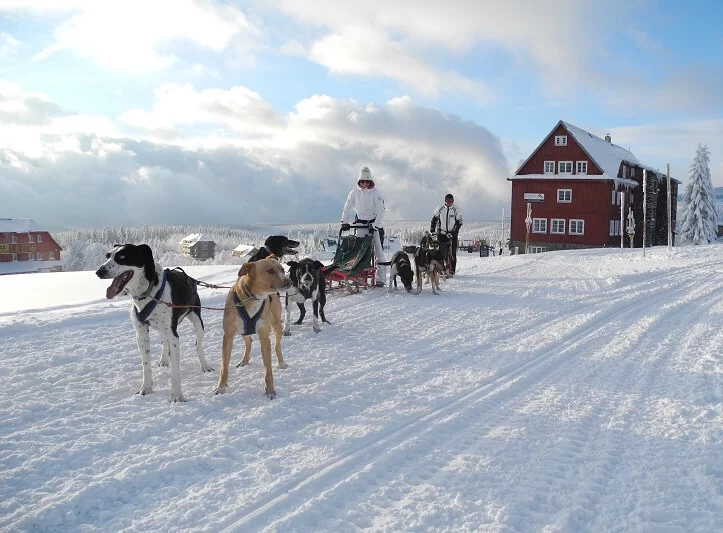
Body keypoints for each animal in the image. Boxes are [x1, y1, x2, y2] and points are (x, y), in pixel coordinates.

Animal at [95, 243, 212, 402]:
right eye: (108, 256)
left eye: (122, 257)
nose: (99, 271)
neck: (147, 294)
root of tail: (190, 278)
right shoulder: (141, 333)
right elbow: (146, 364)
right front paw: (146, 387)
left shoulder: (173, 335)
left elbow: (176, 369)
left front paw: (177, 395)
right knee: (164, 343)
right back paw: (164, 359)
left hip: (197, 323)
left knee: (198, 346)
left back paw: (204, 365)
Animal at [214, 256, 292, 396]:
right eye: (270, 270)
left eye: (282, 269)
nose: (289, 281)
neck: (251, 298)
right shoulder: (228, 336)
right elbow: (224, 366)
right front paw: (221, 387)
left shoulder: (265, 338)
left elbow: (268, 369)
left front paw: (270, 390)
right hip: (242, 330)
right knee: (249, 340)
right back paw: (244, 360)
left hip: (276, 326)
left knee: (277, 345)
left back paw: (281, 362)